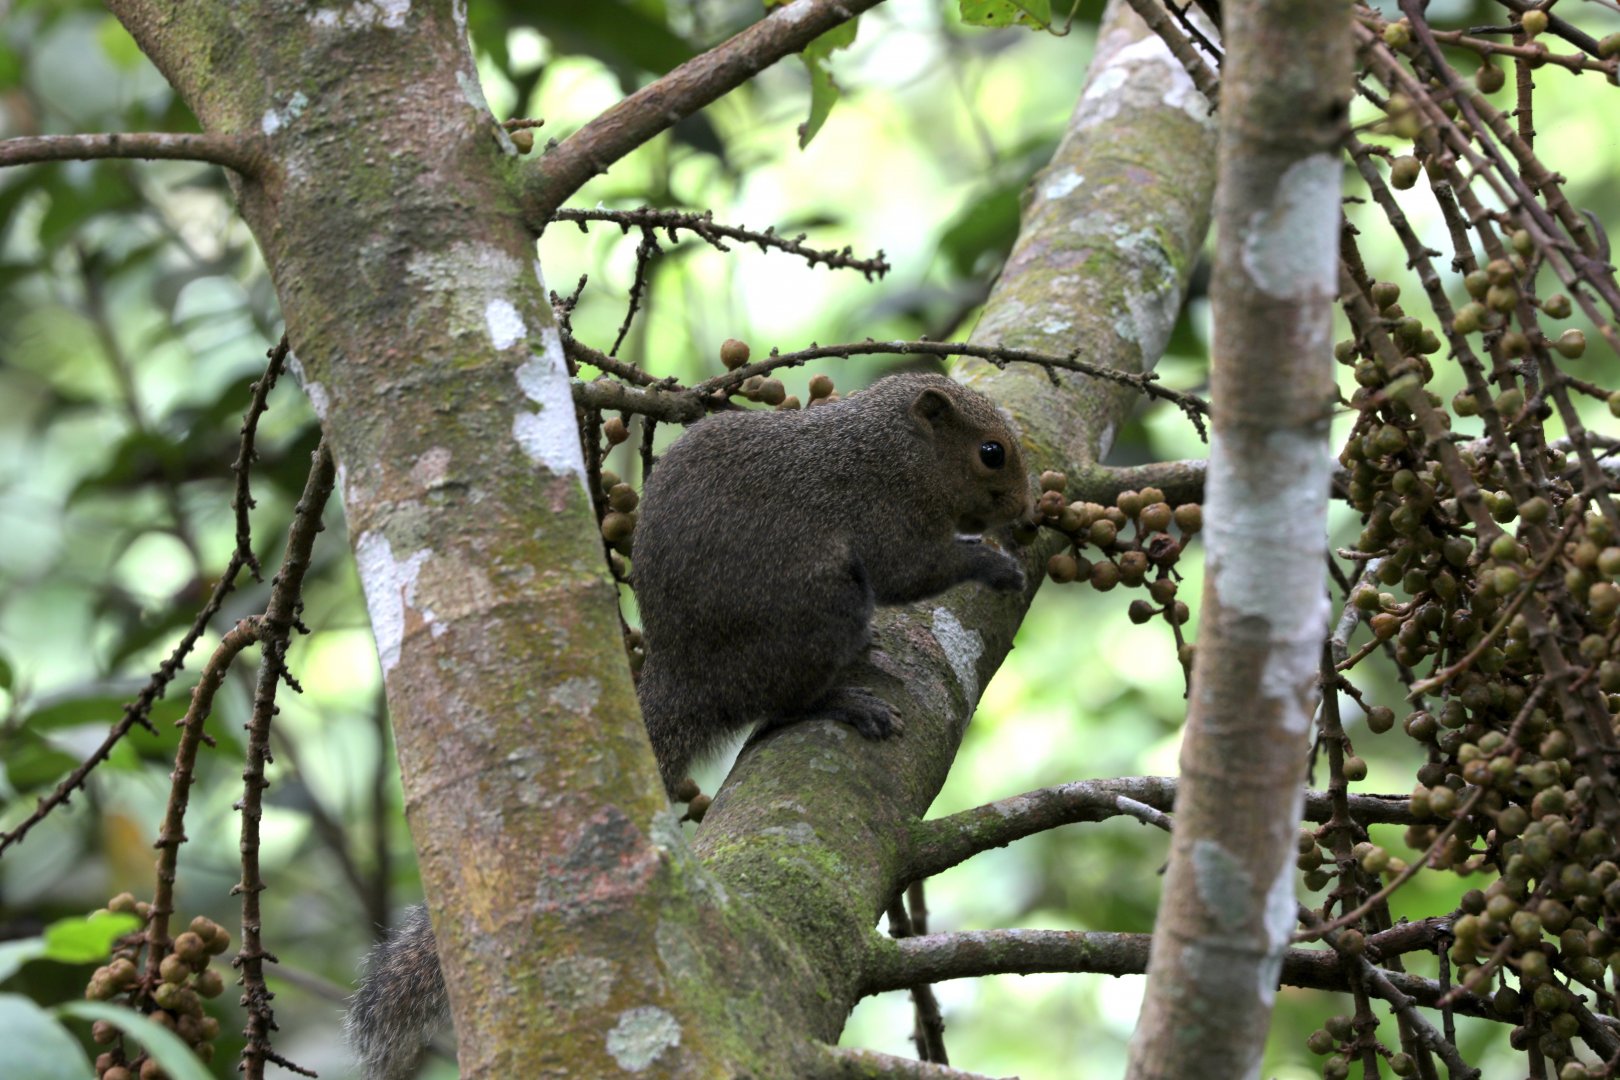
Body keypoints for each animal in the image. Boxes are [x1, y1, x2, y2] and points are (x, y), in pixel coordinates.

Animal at [347, 372, 1030, 1079]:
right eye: (991, 454)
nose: (1028, 513)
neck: (891, 453)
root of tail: (683, 679)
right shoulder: (881, 515)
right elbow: (909, 571)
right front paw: (991, 563)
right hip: (821, 605)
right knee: (782, 701)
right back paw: (843, 700)